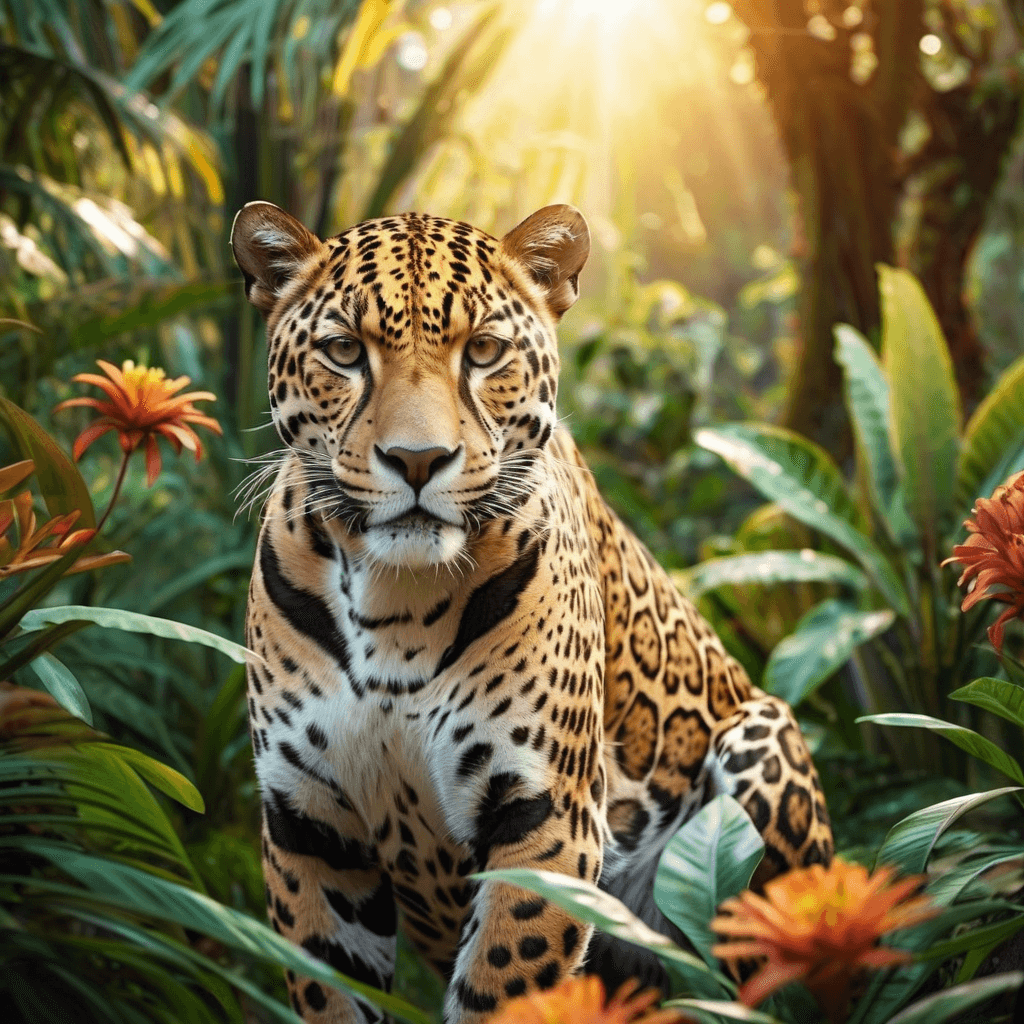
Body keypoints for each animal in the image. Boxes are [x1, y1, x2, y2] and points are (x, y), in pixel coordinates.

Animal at [231, 200, 833, 1024]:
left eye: (483, 351)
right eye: (345, 351)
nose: (417, 461)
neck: (396, 602)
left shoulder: (544, 817)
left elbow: (505, 985)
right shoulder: (309, 821)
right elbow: (333, 994)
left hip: (761, 750)